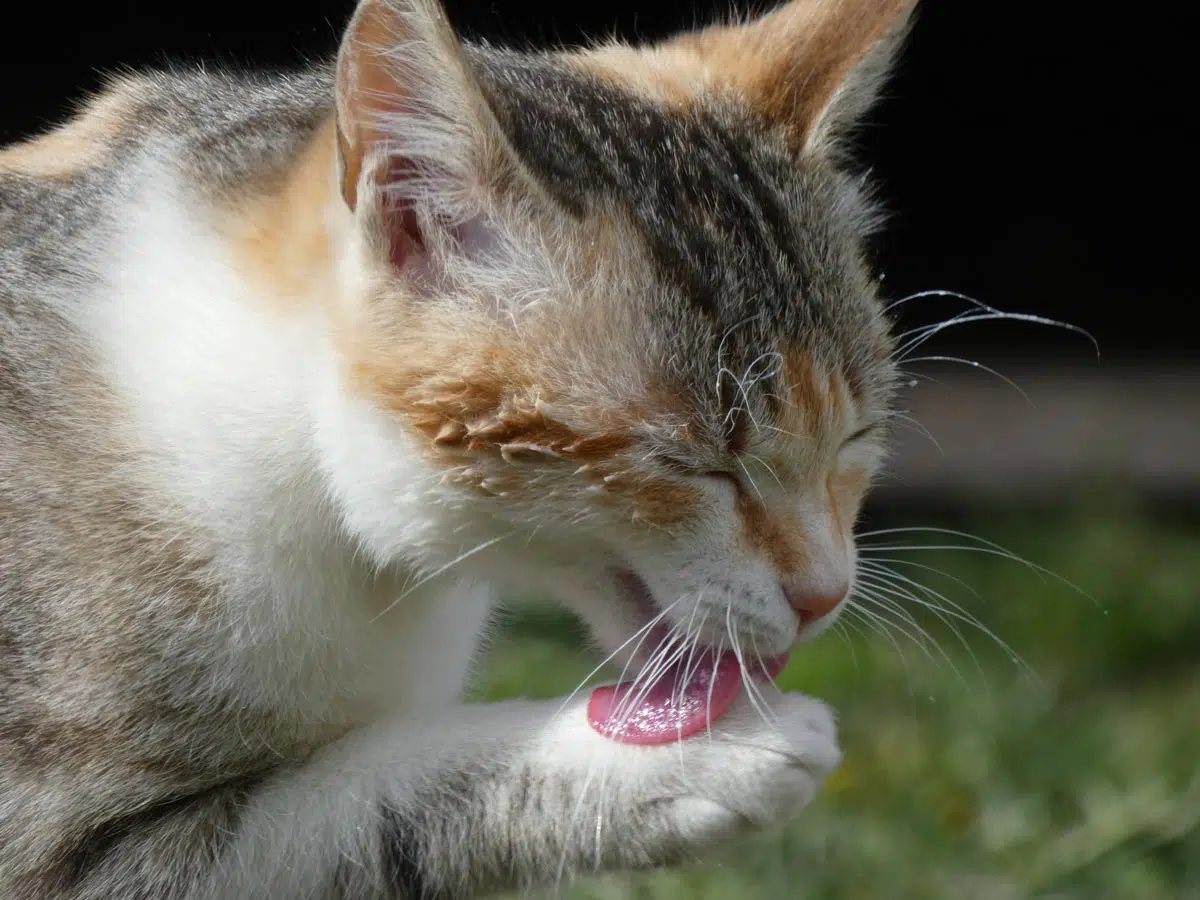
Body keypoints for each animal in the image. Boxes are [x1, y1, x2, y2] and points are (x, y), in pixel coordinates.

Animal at [0, 0, 912, 897]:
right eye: (690, 464)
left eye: (856, 437)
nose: (825, 594)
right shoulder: (80, 853)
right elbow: (355, 810)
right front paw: (673, 765)